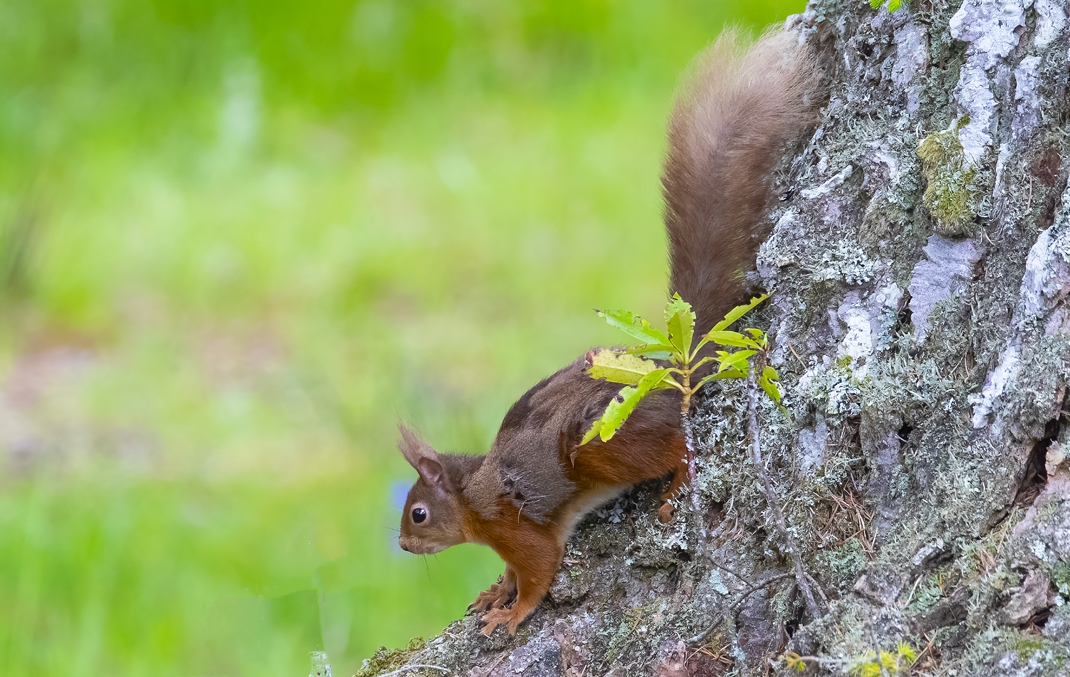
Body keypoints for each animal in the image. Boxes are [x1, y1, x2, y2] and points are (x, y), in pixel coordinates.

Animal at [396, 27, 818, 637]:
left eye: (419, 512)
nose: (403, 545)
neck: (474, 495)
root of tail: (674, 374)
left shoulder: (517, 528)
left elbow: (538, 571)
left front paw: (512, 612)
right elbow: (512, 573)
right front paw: (494, 591)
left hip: (602, 443)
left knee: (680, 448)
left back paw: (677, 486)